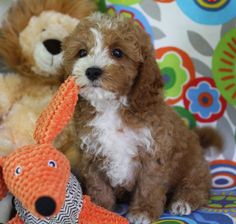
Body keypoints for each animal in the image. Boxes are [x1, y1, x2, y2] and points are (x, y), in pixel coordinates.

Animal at [63, 13, 212, 223]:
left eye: (117, 53)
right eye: (82, 52)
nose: (92, 71)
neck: (111, 107)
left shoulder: (154, 152)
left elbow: (148, 186)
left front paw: (143, 211)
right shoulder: (92, 154)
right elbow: (99, 186)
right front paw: (100, 208)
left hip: (193, 164)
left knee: (198, 185)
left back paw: (184, 201)